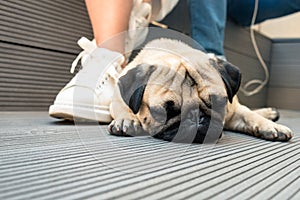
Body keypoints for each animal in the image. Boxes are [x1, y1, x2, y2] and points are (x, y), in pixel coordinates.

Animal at [108, 38, 292, 143]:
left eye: (218, 104)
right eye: (164, 112)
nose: (196, 117)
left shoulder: (232, 109)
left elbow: (249, 115)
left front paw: (269, 126)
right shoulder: (117, 97)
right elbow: (121, 107)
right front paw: (127, 120)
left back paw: (269, 113)